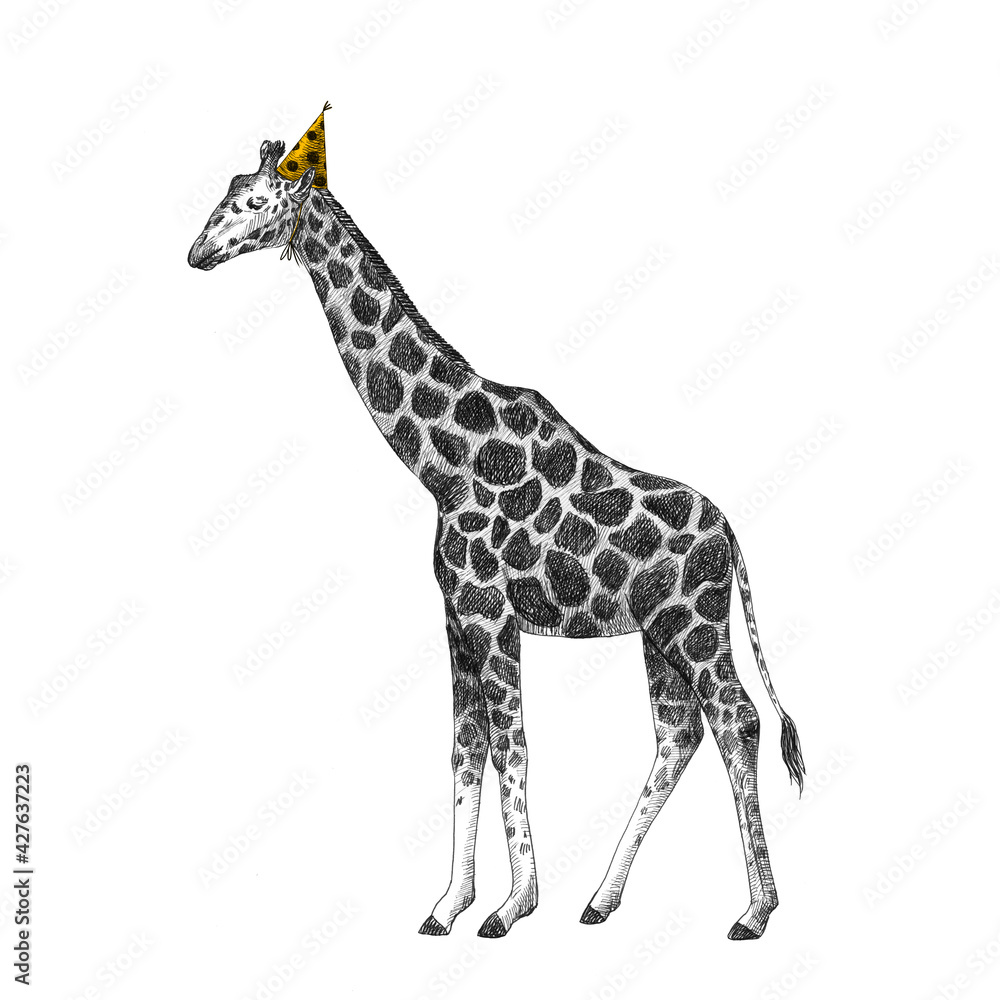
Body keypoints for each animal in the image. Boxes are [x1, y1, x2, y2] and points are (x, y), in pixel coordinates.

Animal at [188, 115, 805, 943]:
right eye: (226, 192)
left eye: (254, 202)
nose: (196, 252)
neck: (443, 463)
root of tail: (732, 539)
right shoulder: (456, 616)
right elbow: (465, 751)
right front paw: (449, 905)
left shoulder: (491, 612)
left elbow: (513, 749)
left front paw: (511, 907)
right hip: (659, 634)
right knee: (680, 735)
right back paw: (602, 899)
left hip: (696, 626)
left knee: (738, 720)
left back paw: (755, 911)